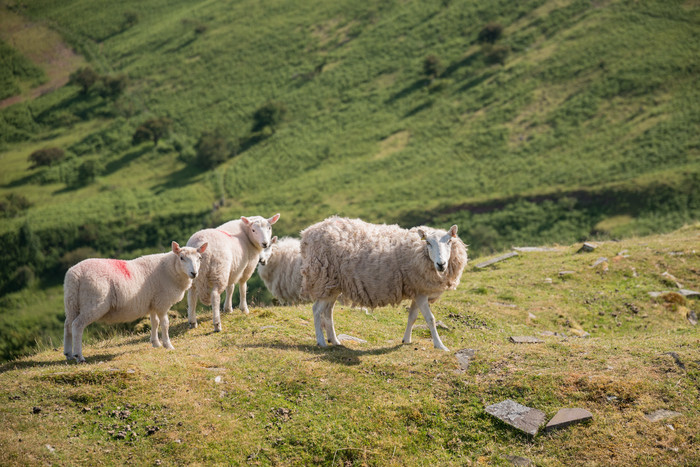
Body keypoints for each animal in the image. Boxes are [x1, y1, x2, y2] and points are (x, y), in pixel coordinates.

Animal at [63, 243, 208, 364]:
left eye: (199, 258)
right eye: (182, 258)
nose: (194, 273)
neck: (170, 269)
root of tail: (75, 274)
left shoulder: (153, 303)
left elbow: (154, 323)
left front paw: (155, 343)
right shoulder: (162, 303)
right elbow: (165, 324)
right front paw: (168, 345)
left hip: (72, 303)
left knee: (68, 325)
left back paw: (68, 354)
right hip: (93, 303)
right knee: (77, 325)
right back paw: (79, 356)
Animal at [298, 216, 468, 352]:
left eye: (449, 241)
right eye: (428, 242)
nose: (441, 264)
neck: (417, 251)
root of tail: (307, 233)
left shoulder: (417, 290)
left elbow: (412, 317)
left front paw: (406, 340)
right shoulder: (420, 292)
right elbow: (430, 319)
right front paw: (440, 345)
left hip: (332, 285)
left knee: (328, 311)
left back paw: (334, 340)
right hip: (322, 277)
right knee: (316, 310)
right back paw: (321, 341)